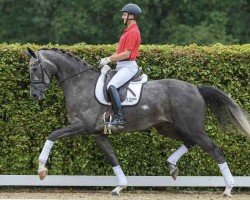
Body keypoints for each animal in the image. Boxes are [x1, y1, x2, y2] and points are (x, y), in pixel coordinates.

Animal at [26, 48, 249, 197]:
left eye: (35, 68)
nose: (35, 95)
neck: (80, 84)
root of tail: (196, 88)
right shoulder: (98, 134)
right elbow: (112, 158)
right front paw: (120, 186)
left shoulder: (83, 127)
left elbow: (52, 135)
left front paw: (41, 169)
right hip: (167, 127)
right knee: (190, 142)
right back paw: (172, 166)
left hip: (192, 127)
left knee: (214, 149)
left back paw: (228, 188)